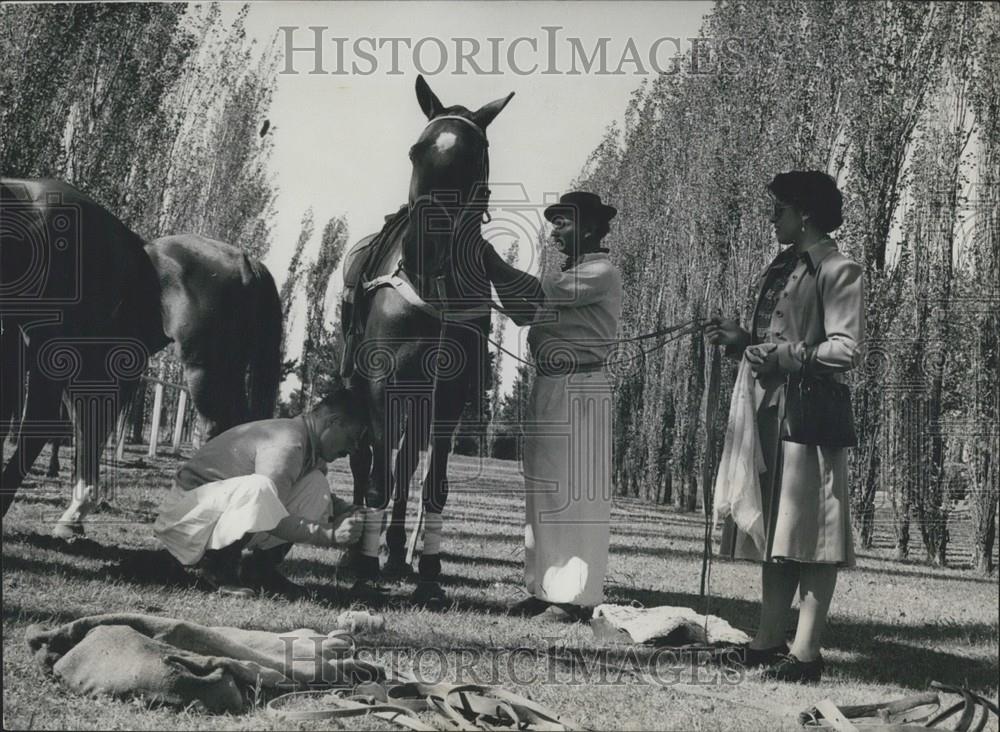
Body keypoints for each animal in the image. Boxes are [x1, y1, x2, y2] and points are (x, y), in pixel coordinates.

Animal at [342, 77, 516, 600]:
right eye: (416, 151)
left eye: (473, 156)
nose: (424, 246)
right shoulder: (381, 384)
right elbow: (378, 478)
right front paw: (363, 568)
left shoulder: (451, 394)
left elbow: (431, 483)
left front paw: (429, 573)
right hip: (362, 386)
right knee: (367, 462)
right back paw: (357, 551)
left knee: (404, 468)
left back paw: (398, 552)